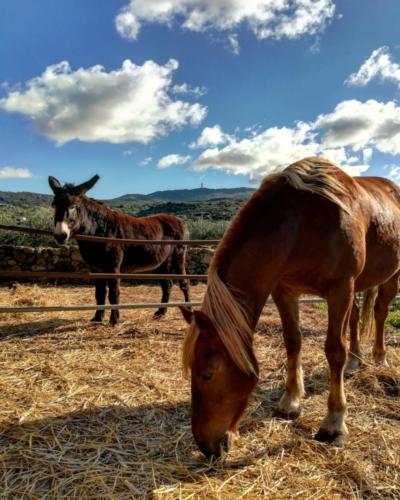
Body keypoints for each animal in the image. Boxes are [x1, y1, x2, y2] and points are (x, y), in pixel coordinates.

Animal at [48, 175, 191, 324]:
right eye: (54, 205)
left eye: (73, 206)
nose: (60, 235)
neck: (97, 231)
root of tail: (180, 220)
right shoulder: (96, 268)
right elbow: (99, 293)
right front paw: (97, 318)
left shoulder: (113, 267)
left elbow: (113, 292)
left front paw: (114, 319)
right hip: (162, 262)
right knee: (167, 285)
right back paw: (160, 312)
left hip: (179, 255)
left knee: (184, 282)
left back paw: (190, 310)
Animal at [180, 158, 400, 458]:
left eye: (207, 375)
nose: (205, 446)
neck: (300, 223)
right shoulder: (284, 290)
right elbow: (293, 341)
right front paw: (290, 401)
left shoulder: (340, 288)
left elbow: (334, 350)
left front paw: (334, 423)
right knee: (355, 319)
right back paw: (356, 361)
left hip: (389, 277)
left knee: (380, 312)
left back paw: (379, 357)